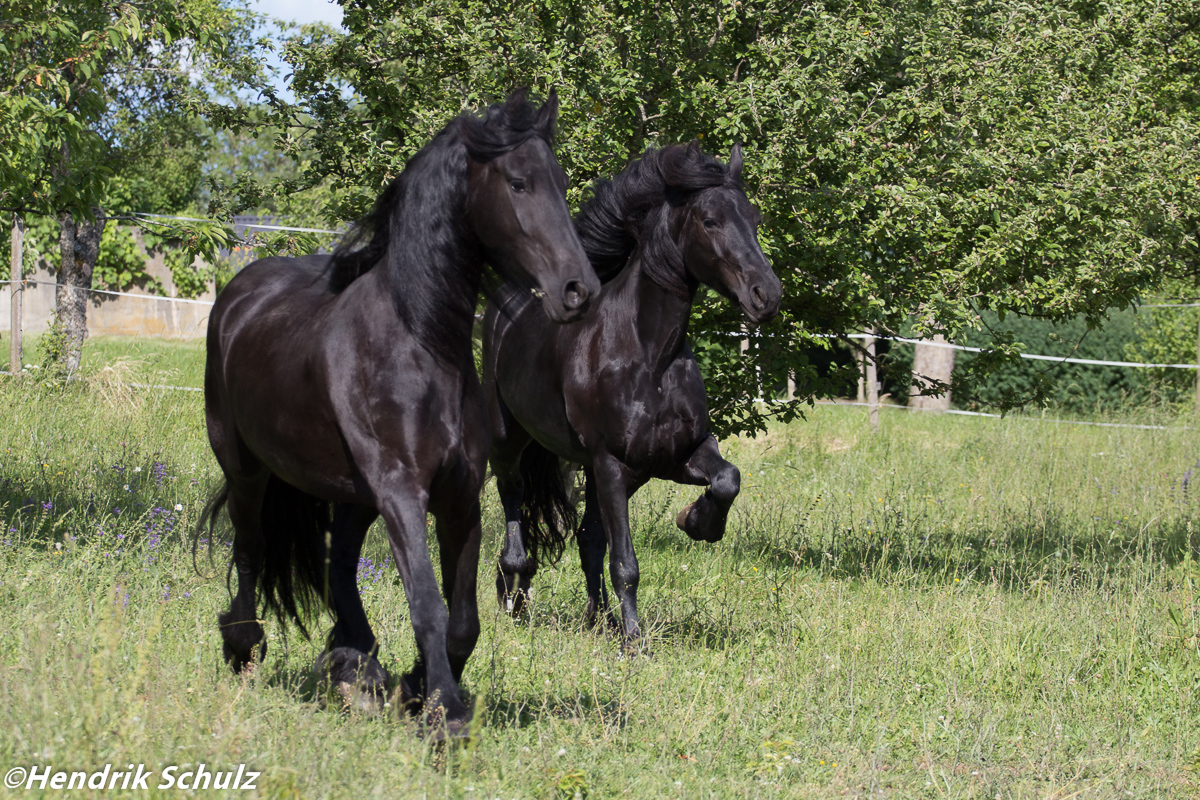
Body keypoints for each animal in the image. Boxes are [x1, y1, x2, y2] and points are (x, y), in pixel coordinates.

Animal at [201, 90, 604, 734]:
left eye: (562, 183)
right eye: (518, 183)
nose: (579, 291)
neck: (417, 343)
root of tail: (238, 294)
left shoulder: (458, 496)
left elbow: (462, 621)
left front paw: (417, 689)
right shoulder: (401, 493)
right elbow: (428, 606)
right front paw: (447, 717)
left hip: (351, 494)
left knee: (338, 566)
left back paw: (355, 666)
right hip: (247, 469)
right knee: (250, 548)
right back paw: (244, 646)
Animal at [482, 142, 782, 642]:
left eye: (755, 219)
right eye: (710, 220)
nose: (767, 296)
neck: (649, 355)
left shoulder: (672, 456)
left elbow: (728, 479)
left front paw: (696, 522)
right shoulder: (612, 464)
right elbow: (626, 564)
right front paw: (635, 642)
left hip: (605, 471)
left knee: (587, 539)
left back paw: (598, 618)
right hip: (510, 441)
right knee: (515, 500)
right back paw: (514, 594)